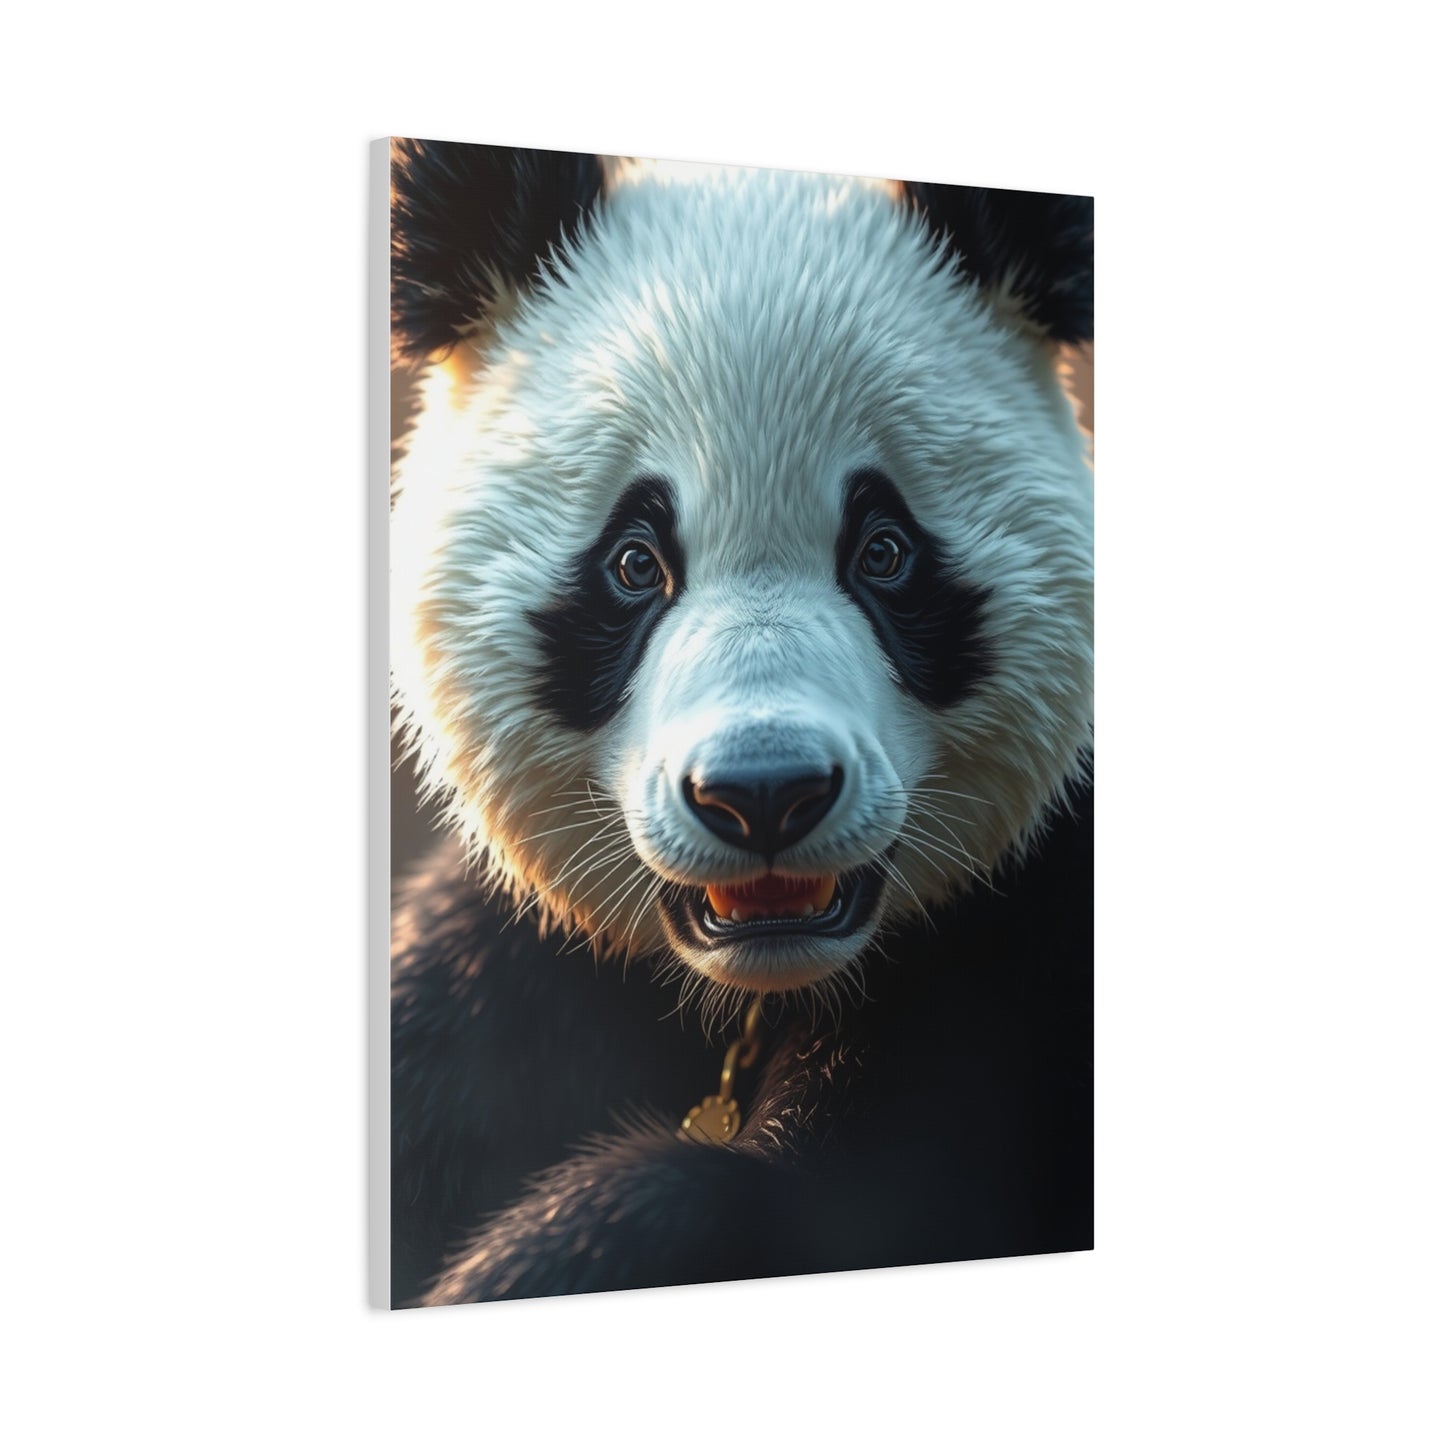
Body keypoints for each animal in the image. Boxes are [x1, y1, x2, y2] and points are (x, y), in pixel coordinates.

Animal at [389, 140, 1093, 1308]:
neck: (759, 995)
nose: (763, 794)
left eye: (884, 551)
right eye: (633, 563)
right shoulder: (508, 984)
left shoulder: (1024, 981)